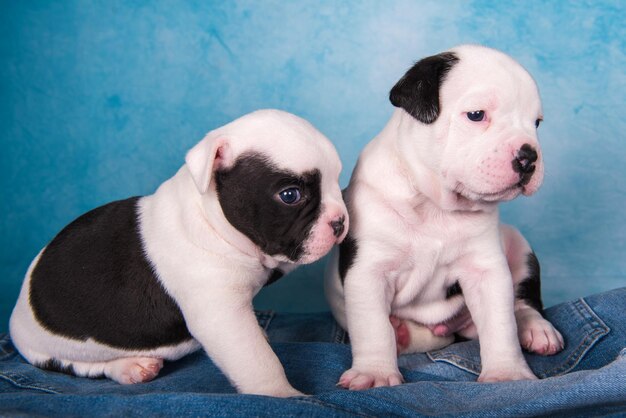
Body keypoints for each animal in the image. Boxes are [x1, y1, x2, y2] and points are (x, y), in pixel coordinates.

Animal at [11, 109, 346, 396]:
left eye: (337, 180)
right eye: (291, 195)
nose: (341, 221)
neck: (211, 219)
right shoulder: (221, 315)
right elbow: (258, 361)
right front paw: (283, 395)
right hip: (50, 351)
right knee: (83, 367)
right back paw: (129, 367)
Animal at [324, 45, 564, 388]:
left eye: (537, 123)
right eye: (476, 115)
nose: (529, 156)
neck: (435, 204)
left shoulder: (485, 270)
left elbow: (500, 322)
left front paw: (507, 372)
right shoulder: (369, 271)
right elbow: (373, 328)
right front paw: (375, 372)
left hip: (518, 244)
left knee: (522, 301)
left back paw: (536, 328)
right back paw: (401, 333)